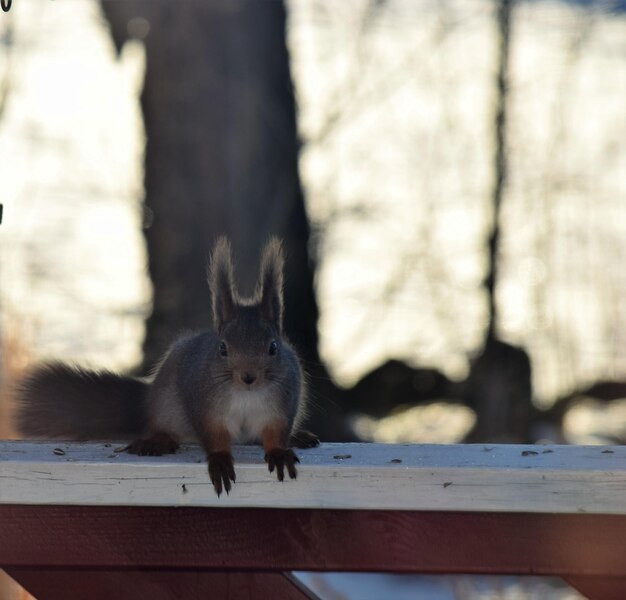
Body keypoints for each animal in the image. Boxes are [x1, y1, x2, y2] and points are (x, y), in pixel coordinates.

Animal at [15, 237, 316, 494]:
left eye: (273, 347)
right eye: (222, 348)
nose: (249, 377)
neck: (246, 395)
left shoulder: (284, 403)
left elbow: (277, 431)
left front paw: (279, 452)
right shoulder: (202, 403)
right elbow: (213, 434)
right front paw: (220, 459)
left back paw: (299, 437)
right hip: (165, 406)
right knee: (163, 426)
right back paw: (157, 441)